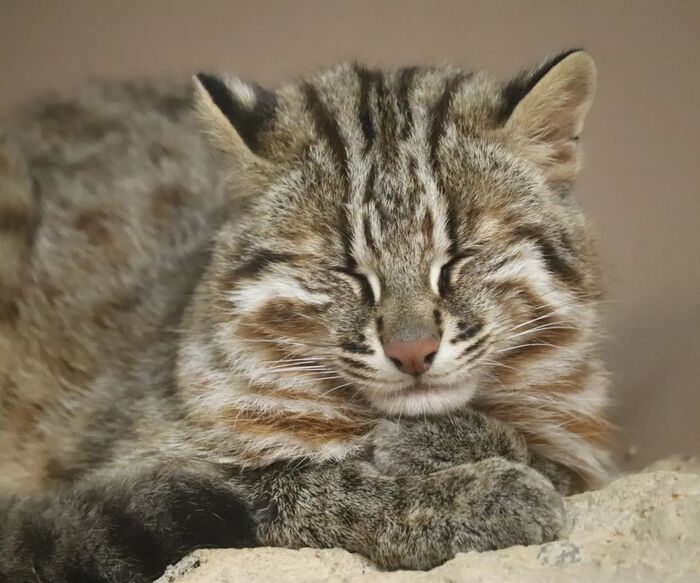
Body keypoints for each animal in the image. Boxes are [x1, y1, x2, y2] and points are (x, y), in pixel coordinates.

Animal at [0, 49, 612, 582]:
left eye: (459, 258)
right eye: (345, 271)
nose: (412, 353)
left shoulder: (587, 448)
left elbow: (560, 459)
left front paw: (449, 441)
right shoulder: (149, 466)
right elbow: (308, 485)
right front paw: (474, 496)